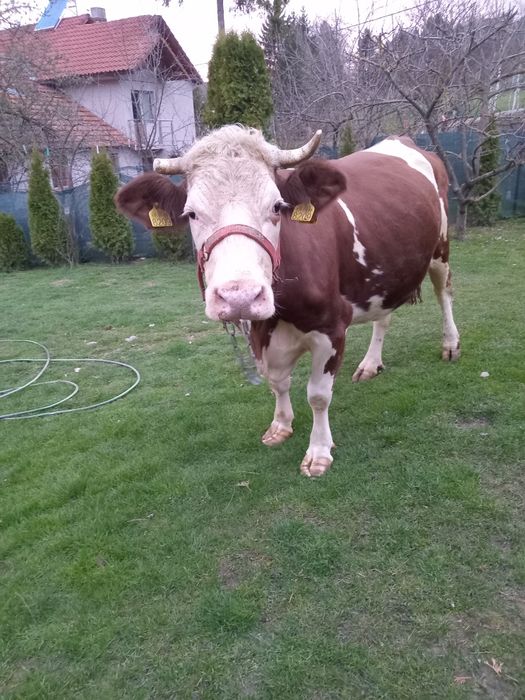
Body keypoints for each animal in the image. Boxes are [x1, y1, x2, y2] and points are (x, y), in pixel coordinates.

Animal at [115, 126, 460, 477]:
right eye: (191, 214)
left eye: (277, 207)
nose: (240, 294)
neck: (278, 317)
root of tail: (401, 140)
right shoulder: (260, 331)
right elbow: (277, 382)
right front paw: (280, 426)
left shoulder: (332, 327)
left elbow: (318, 395)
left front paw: (319, 451)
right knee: (385, 315)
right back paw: (370, 364)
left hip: (440, 248)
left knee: (444, 292)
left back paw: (450, 344)